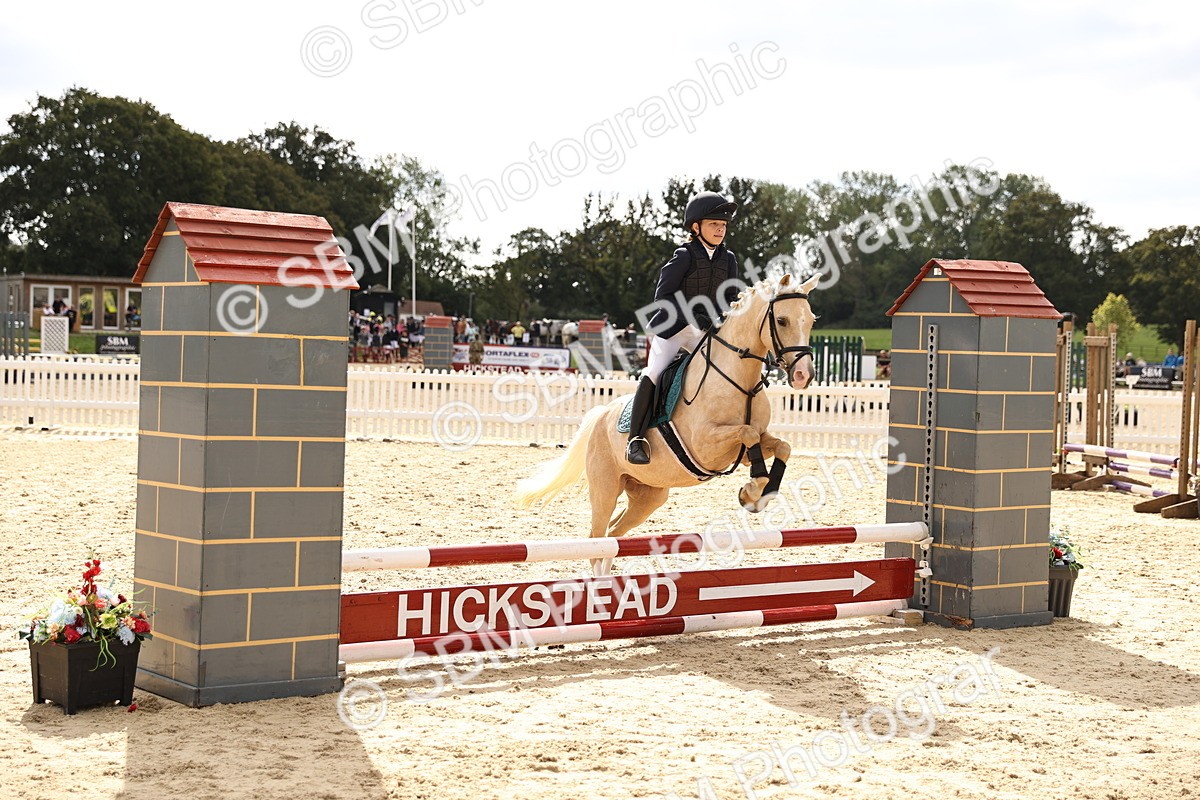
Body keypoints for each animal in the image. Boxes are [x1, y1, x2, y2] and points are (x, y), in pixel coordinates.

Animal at [515, 273, 820, 574]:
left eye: (811, 319)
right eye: (782, 320)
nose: (803, 375)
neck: (740, 380)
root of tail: (601, 415)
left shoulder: (745, 449)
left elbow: (781, 446)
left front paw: (760, 493)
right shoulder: (707, 445)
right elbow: (748, 433)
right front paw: (753, 490)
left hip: (648, 496)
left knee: (613, 534)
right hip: (605, 489)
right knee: (597, 540)